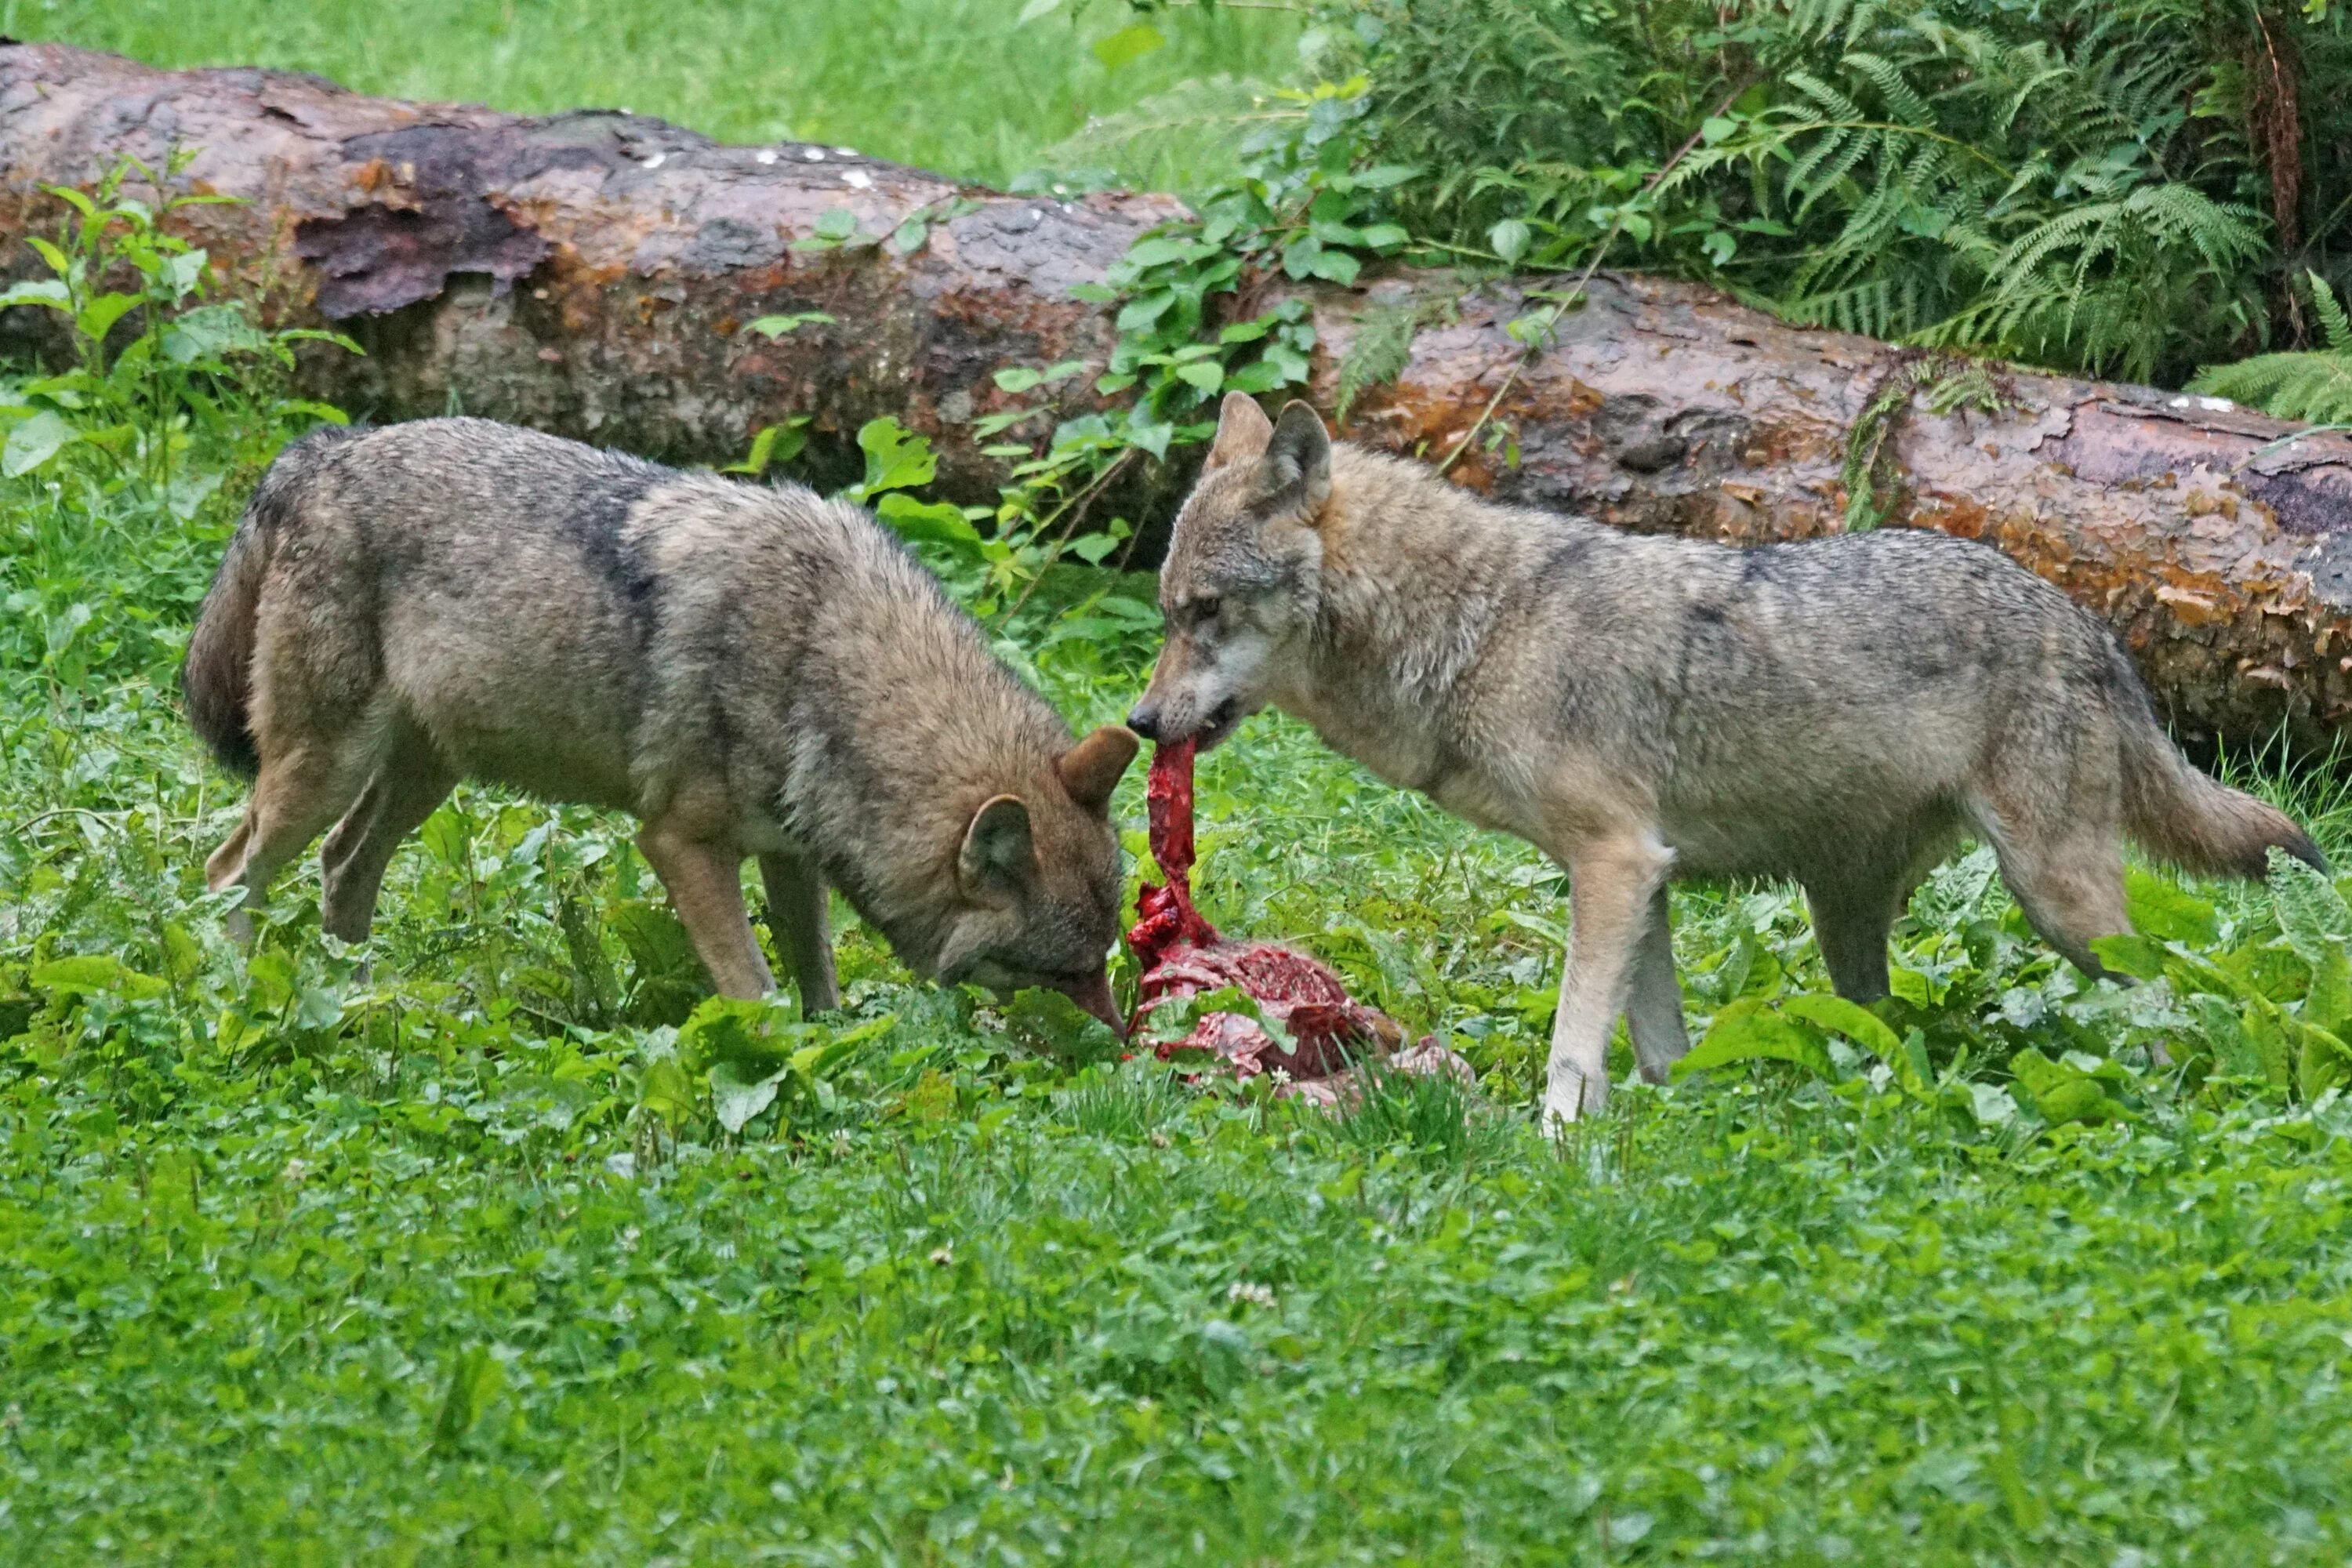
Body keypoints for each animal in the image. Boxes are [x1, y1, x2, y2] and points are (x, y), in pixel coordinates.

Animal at [183, 416, 1138, 1025]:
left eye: (1103, 961)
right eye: (1065, 972)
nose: (1117, 1044)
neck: (820, 653)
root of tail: (321, 450)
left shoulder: (791, 853)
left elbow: (818, 982)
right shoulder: (678, 843)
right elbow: (754, 990)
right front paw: (777, 1063)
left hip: (423, 777)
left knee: (343, 868)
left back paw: (359, 997)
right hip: (323, 770)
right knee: (229, 870)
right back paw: (244, 989)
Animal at [1129, 392, 2324, 1128]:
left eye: (1205, 613)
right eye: (1167, 611)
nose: (1140, 722)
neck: (1482, 628)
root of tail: (2088, 623)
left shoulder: (1614, 864)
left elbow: (1573, 1043)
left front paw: (1552, 1143)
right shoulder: (1641, 876)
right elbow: (1658, 1045)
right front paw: (1670, 1122)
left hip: (2057, 898)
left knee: (2173, 999)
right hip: (1850, 915)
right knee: (1879, 1022)